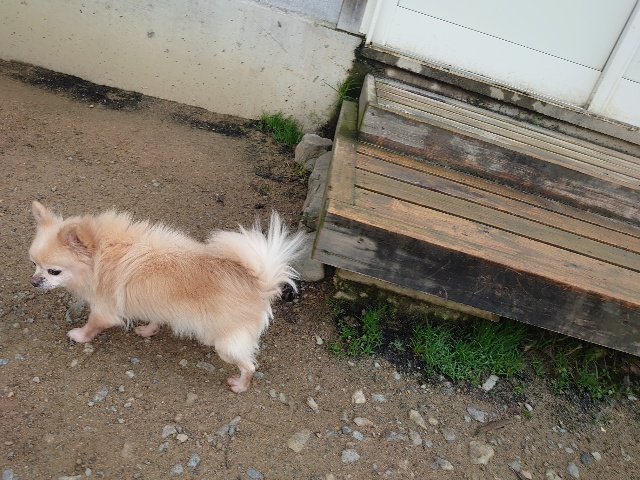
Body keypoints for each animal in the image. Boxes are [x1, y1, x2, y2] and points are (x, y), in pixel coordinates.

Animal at [28, 201, 303, 392]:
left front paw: (79, 336)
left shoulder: (104, 309)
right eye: (34, 264)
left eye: (53, 271)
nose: (33, 281)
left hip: (227, 345)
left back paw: (240, 384)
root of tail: (259, 284)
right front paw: (149, 330)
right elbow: (155, 318)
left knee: (250, 365)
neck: (101, 254)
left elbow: (91, 325)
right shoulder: (156, 303)